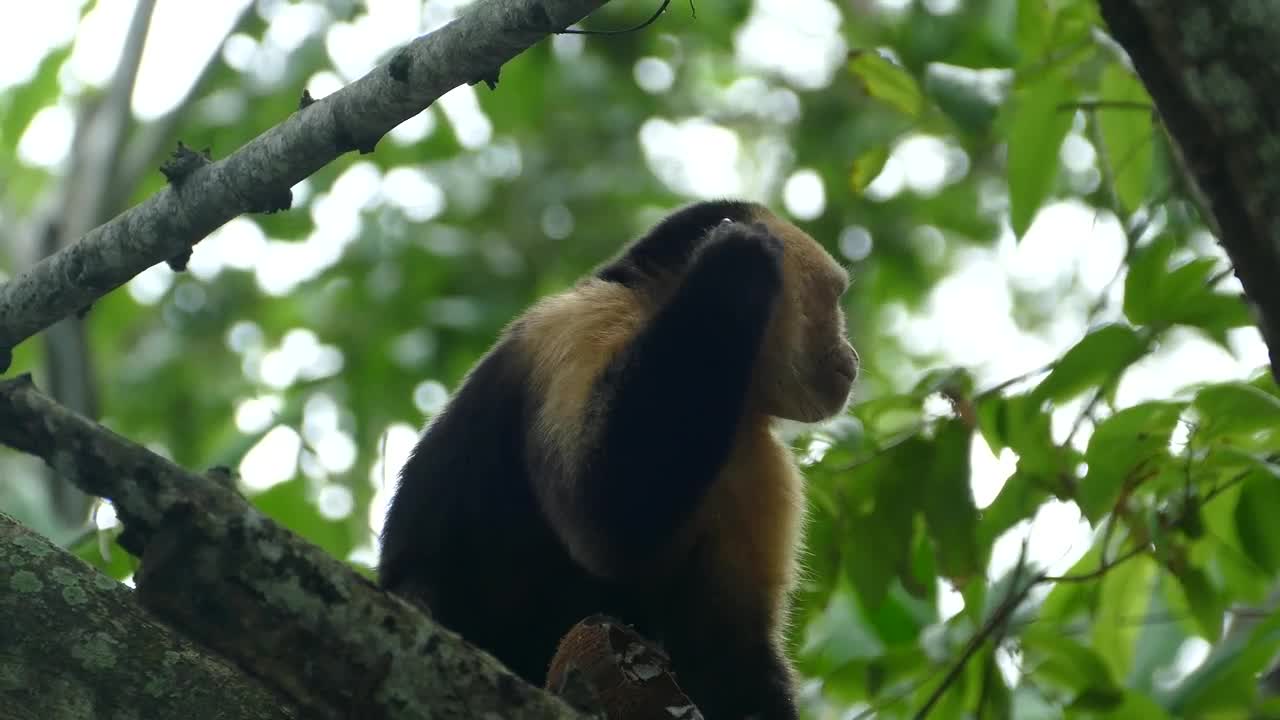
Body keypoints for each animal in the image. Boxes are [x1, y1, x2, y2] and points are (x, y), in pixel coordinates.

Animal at [377, 199, 858, 719]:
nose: (852, 355)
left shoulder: (758, 456)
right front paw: (737, 265)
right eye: (835, 298)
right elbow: (603, 519)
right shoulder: (586, 323)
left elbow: (729, 649)